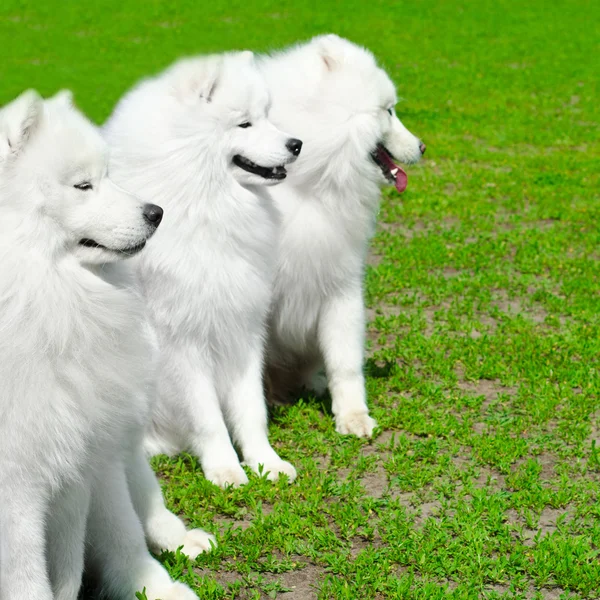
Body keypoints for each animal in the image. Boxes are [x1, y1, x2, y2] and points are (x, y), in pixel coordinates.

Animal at [0, 90, 214, 600]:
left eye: (108, 176)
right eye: (83, 186)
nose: (156, 213)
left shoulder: (88, 454)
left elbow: (122, 532)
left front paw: (153, 586)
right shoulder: (19, 486)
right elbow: (27, 578)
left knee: (142, 498)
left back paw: (179, 542)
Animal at [105, 51, 302, 488]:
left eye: (267, 116)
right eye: (244, 123)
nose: (297, 143)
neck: (204, 201)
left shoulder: (242, 329)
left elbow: (251, 409)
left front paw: (265, 462)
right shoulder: (183, 343)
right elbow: (207, 417)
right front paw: (226, 470)